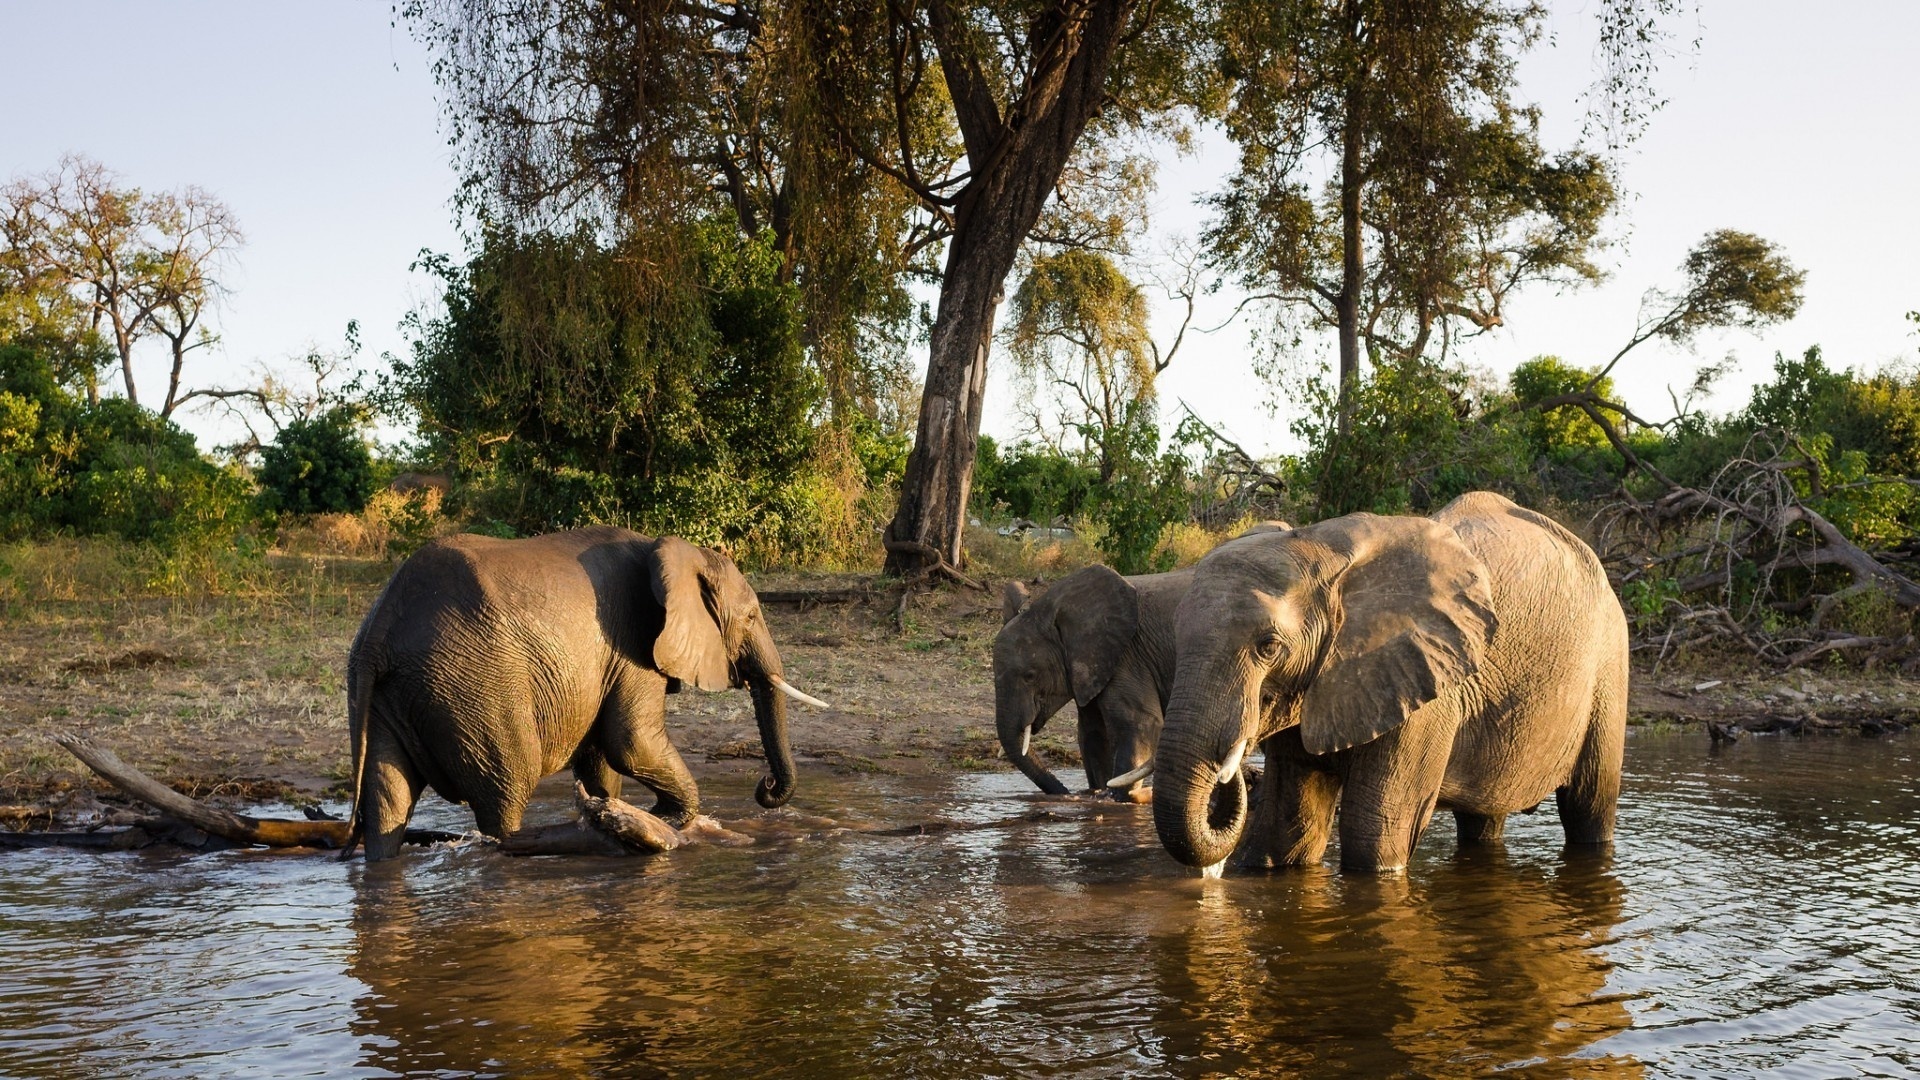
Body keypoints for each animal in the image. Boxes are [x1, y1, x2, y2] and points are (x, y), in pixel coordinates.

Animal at [345, 522, 825, 857]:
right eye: (751, 617)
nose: (764, 784)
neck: (676, 553)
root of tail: (381, 630)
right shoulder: (634, 642)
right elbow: (630, 743)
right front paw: (661, 820)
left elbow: (601, 760)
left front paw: (620, 812)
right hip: (474, 688)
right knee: (507, 790)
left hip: (386, 692)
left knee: (387, 802)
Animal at [990, 518, 1290, 803]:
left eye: (1030, 675)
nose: (1065, 793)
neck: (1052, 606)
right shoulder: (1092, 668)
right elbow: (1092, 733)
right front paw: (1098, 793)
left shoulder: (1127, 656)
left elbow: (1139, 724)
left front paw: (1117, 799)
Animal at [1144, 491, 1628, 868]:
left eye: (1268, 646)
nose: (1236, 774)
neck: (1321, 547)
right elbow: (1287, 828)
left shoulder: (1428, 689)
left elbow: (1373, 833)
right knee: (1483, 817)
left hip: (1609, 664)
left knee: (1589, 807)